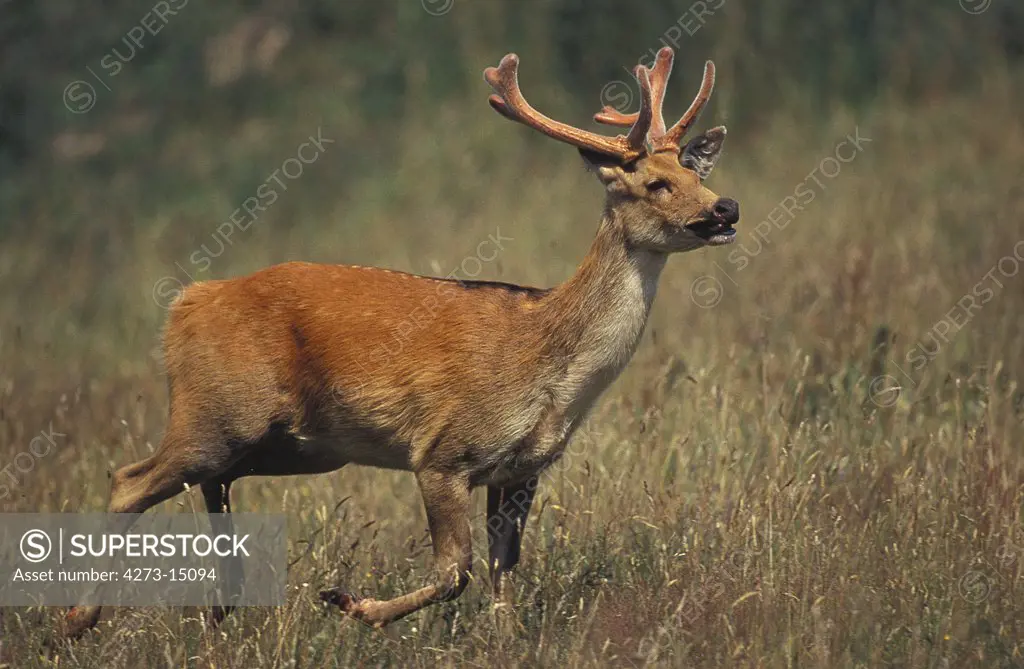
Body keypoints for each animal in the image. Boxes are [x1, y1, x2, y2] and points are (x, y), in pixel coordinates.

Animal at [66, 44, 737, 635]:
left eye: (694, 171)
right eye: (654, 184)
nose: (725, 208)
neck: (549, 364)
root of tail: (186, 301)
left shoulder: (521, 472)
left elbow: (504, 575)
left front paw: (500, 640)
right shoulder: (443, 449)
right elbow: (455, 571)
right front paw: (350, 604)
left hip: (289, 444)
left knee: (211, 491)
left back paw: (215, 616)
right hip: (217, 411)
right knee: (129, 481)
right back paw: (78, 619)